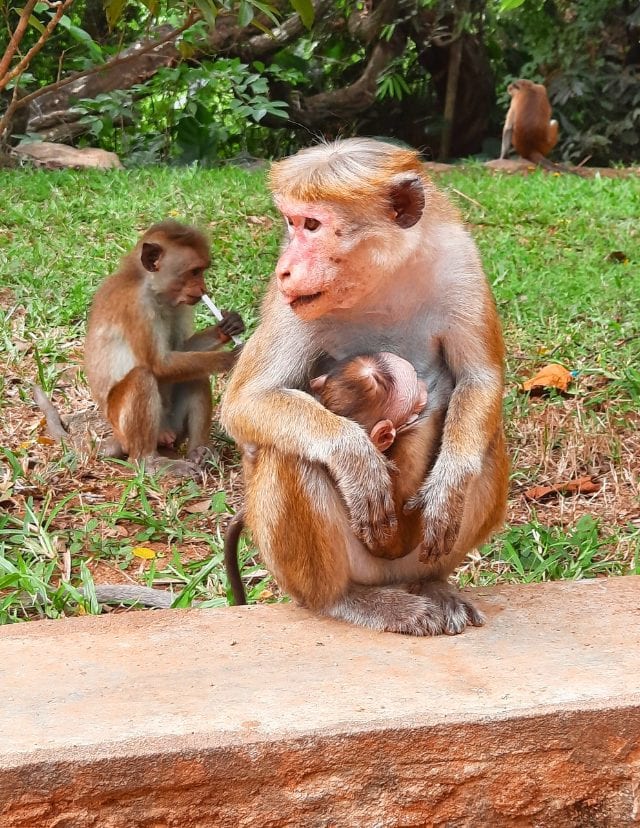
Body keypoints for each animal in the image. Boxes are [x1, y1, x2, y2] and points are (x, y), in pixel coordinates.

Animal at [84, 220, 244, 478]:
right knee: (142, 377)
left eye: (201, 271)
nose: (203, 289)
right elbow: (159, 364)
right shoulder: (137, 306)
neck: (151, 288)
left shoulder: (179, 305)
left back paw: (199, 450)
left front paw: (228, 326)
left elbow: (181, 350)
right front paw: (233, 358)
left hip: (174, 426)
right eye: (194, 272)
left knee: (195, 375)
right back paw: (149, 461)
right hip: (124, 428)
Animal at [219, 136, 509, 637]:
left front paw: (450, 485)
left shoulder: (461, 265)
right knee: (291, 456)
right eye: (292, 223)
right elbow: (246, 402)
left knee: (488, 442)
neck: (381, 278)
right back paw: (346, 600)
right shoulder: (289, 301)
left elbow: (480, 378)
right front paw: (355, 457)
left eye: (312, 224)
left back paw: (431, 583)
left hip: (412, 554)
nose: (285, 268)